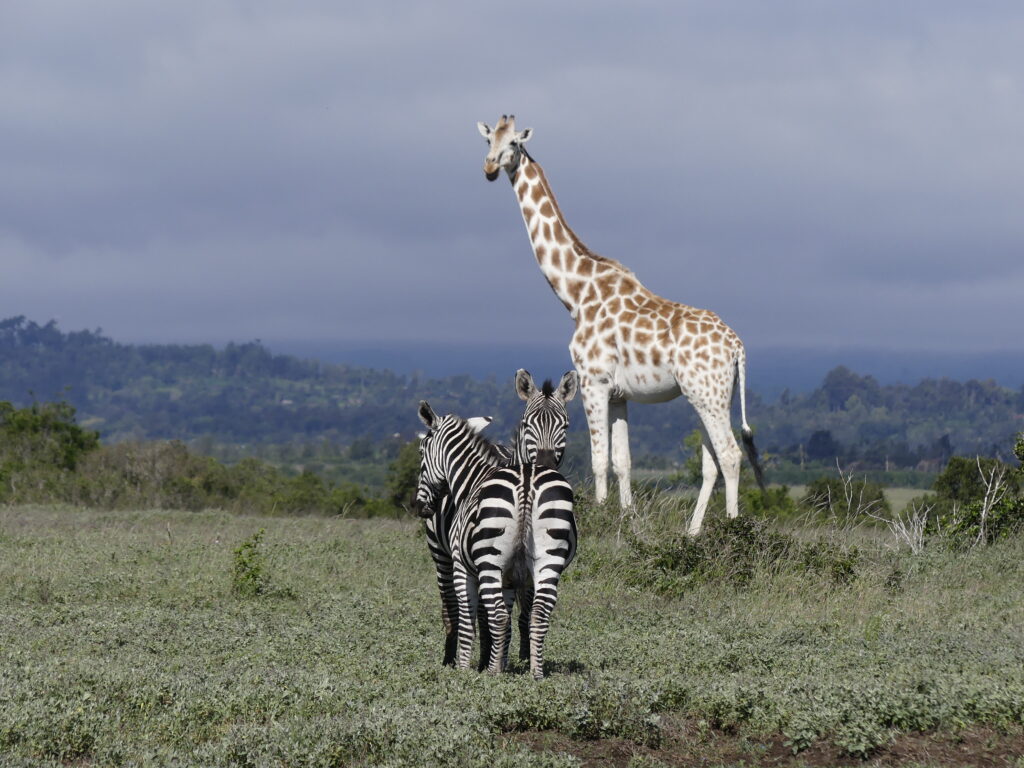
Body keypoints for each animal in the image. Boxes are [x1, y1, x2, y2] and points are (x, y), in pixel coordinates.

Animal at [420, 370, 577, 668]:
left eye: (565, 425)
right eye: (526, 423)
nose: (423, 506)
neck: (473, 476)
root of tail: (528, 479)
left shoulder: (466, 564)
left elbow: (472, 617)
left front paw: (469, 664)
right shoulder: (513, 574)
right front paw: (499, 659)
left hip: (448, 556)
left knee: (460, 610)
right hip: (544, 559)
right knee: (536, 613)